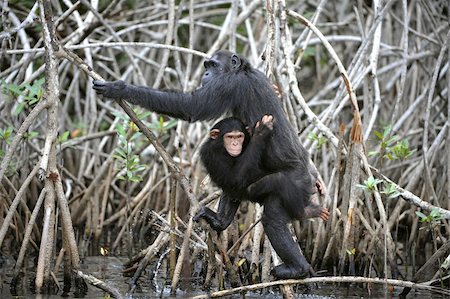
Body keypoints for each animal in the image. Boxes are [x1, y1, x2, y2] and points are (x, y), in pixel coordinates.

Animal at [198, 116, 330, 233]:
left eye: (239, 136)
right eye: (229, 137)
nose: (235, 144)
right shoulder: (212, 153)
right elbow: (235, 178)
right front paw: (261, 131)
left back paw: (221, 221)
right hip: (250, 193)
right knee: (280, 180)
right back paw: (304, 212)